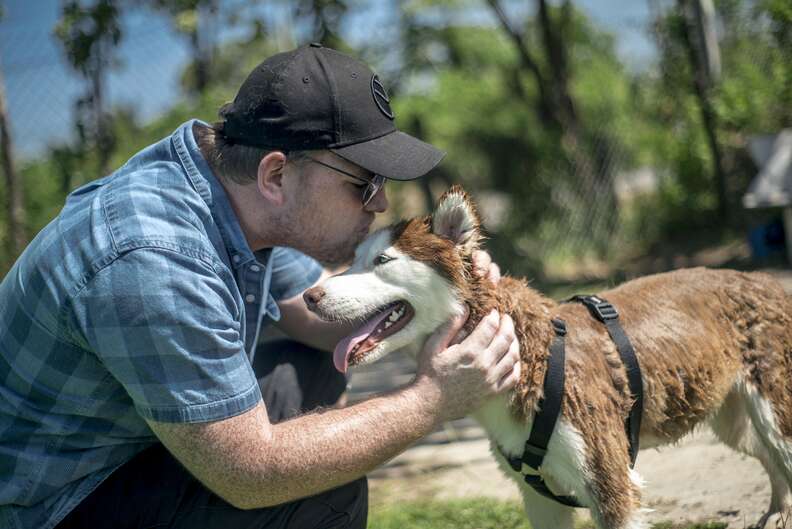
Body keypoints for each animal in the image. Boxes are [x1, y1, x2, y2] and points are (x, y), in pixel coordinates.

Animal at [304, 186, 792, 528]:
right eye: (354, 260)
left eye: (382, 261)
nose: (309, 296)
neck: (527, 353)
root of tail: (763, 279)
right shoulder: (540, 499)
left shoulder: (612, 487)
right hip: (730, 416)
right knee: (769, 460)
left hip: (775, 414)